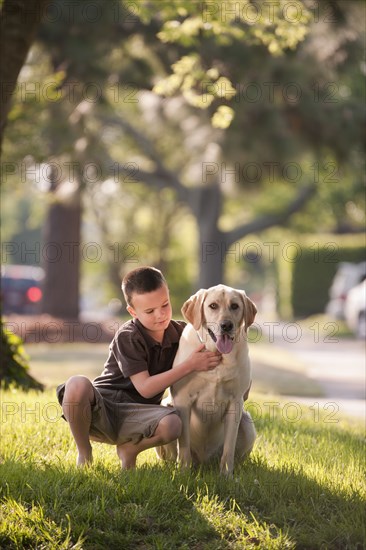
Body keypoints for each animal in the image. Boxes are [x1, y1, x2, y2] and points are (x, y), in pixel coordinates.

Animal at [157, 286, 258, 476]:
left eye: (235, 306)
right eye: (213, 306)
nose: (226, 325)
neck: (217, 356)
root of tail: (204, 462)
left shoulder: (236, 402)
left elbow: (229, 448)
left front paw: (226, 476)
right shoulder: (183, 401)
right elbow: (184, 444)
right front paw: (183, 473)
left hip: (247, 423)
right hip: (166, 407)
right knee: (171, 456)